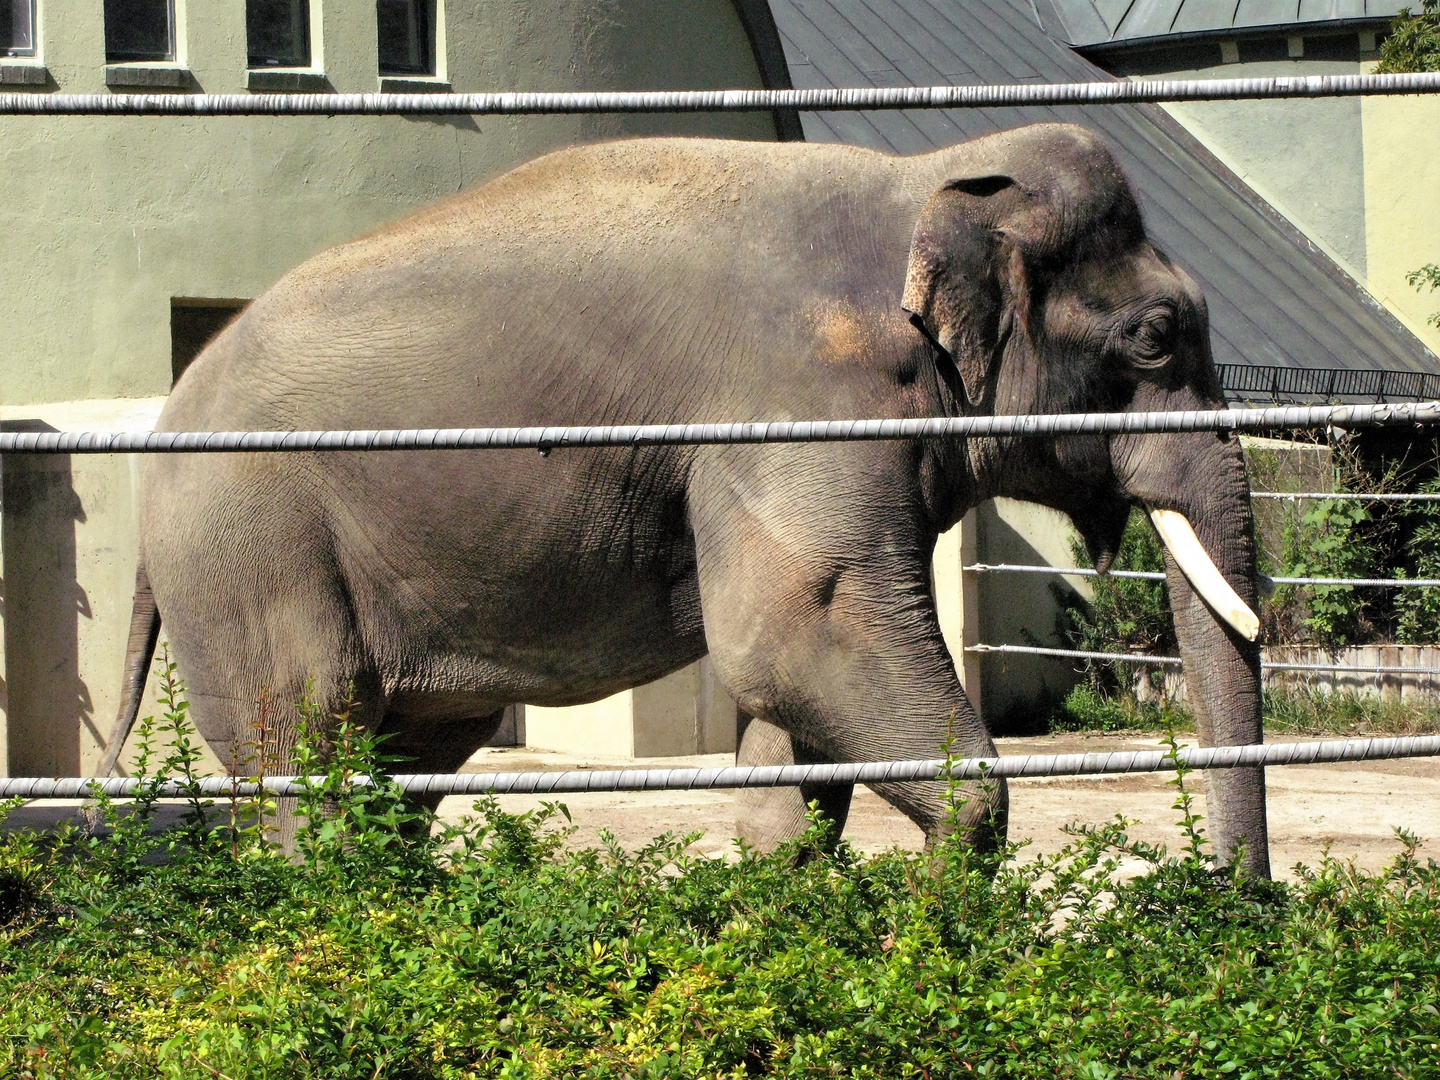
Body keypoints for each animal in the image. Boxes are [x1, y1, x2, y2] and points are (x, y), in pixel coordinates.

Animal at [104, 120, 1272, 881]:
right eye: (1156, 336)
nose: (1226, 898)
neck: (925, 185)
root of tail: (164, 425)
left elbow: (788, 709)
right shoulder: (794, 404)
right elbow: (793, 630)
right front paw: (936, 921)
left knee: (413, 757)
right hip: (249, 550)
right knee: (312, 742)